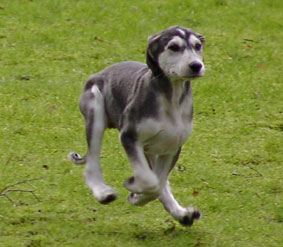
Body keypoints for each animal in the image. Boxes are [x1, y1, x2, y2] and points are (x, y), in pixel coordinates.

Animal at [69, 26, 205, 227]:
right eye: (174, 47)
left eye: (198, 46)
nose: (196, 65)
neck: (170, 99)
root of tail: (98, 74)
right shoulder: (129, 137)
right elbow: (150, 181)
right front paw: (133, 187)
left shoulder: (172, 148)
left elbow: (158, 183)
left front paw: (138, 196)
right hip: (95, 112)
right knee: (92, 162)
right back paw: (102, 192)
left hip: (153, 149)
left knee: (162, 181)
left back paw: (182, 214)